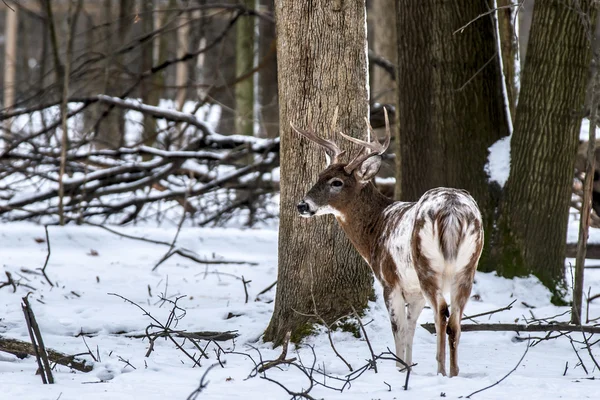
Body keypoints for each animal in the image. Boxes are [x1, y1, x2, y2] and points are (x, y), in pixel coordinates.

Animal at [292, 110, 486, 378]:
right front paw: (409, 367)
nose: (302, 205)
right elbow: (411, 328)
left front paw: (399, 369)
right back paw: (454, 373)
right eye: (320, 176)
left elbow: (398, 327)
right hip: (468, 265)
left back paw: (440, 370)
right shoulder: (413, 291)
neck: (376, 227)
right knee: (455, 321)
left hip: (426, 264)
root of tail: (452, 211)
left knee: (441, 313)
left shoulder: (389, 280)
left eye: (337, 182)